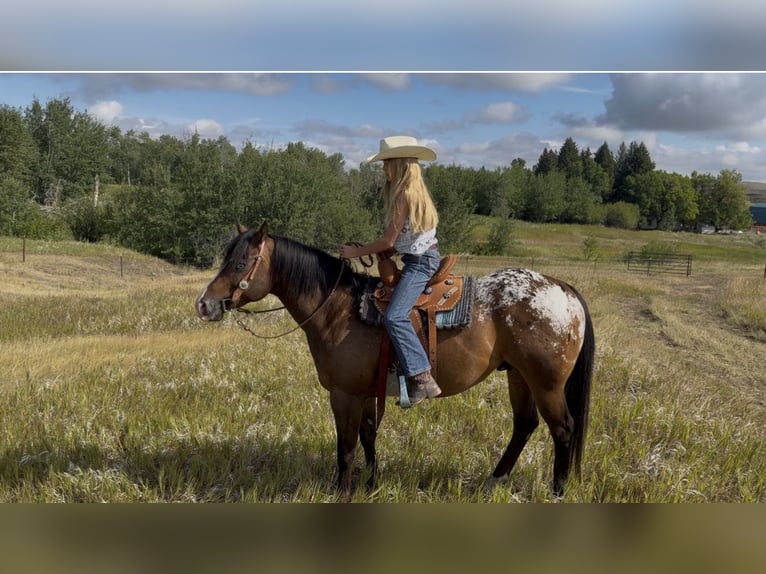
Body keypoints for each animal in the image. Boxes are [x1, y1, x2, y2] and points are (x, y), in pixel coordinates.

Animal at [196, 223, 595, 500]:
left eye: (241, 263)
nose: (204, 304)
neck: (339, 310)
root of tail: (564, 290)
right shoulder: (365, 392)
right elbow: (368, 436)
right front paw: (372, 484)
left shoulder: (344, 394)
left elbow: (346, 448)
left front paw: (343, 492)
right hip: (518, 377)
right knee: (525, 425)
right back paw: (492, 481)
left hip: (547, 384)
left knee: (563, 429)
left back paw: (557, 493)